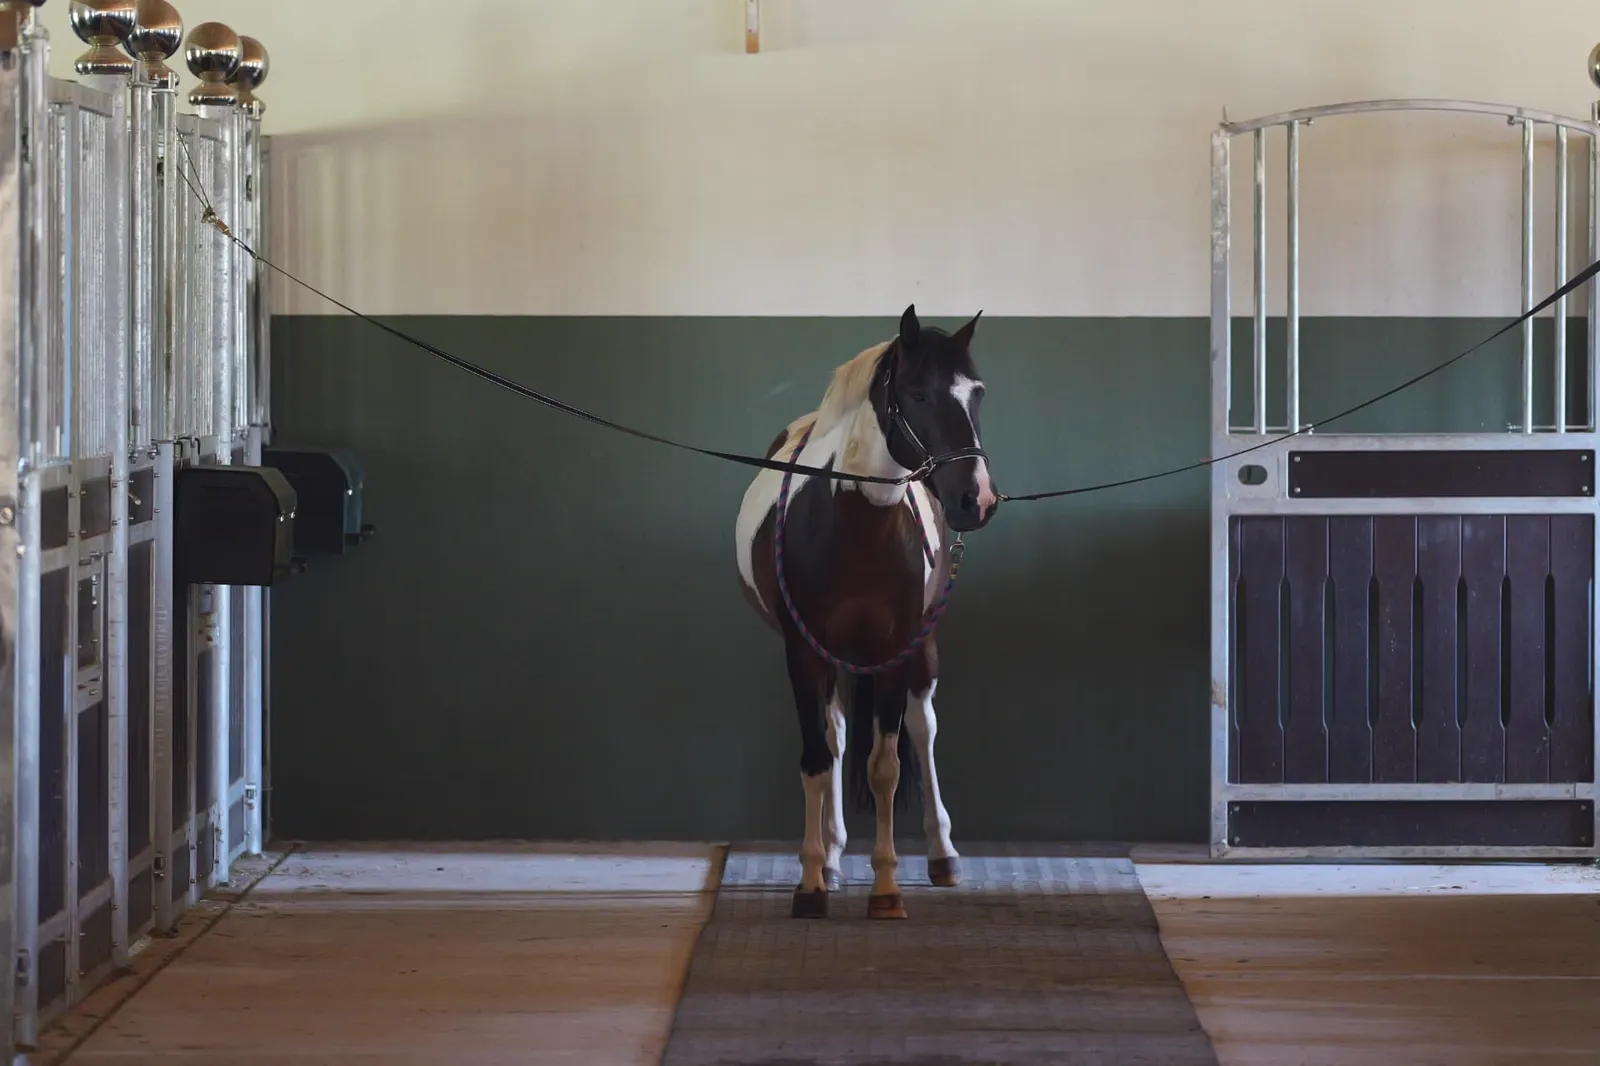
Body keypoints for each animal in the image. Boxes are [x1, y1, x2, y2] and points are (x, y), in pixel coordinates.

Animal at [734, 304, 997, 920]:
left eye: (976, 393)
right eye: (919, 394)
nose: (976, 498)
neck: (853, 523)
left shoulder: (896, 652)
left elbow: (886, 766)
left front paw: (885, 888)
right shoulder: (802, 653)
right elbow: (816, 759)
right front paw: (810, 882)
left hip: (922, 651)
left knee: (922, 731)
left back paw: (942, 855)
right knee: (834, 737)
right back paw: (830, 857)